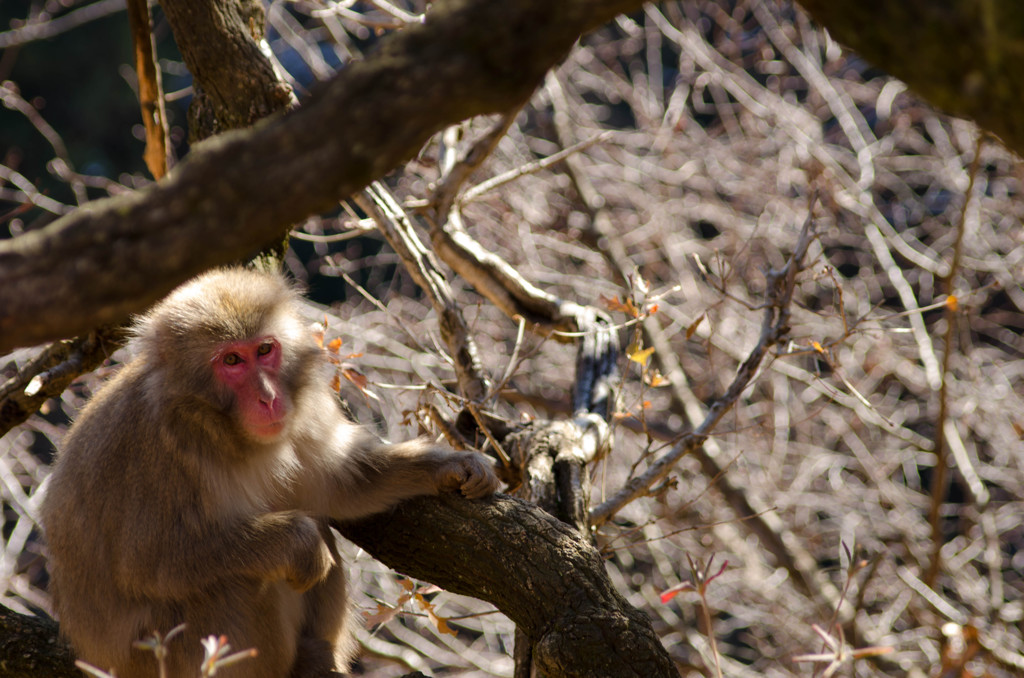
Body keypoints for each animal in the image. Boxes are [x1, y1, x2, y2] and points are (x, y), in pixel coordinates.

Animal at [41, 270, 497, 678]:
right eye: (231, 360)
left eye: (264, 350)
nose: (268, 397)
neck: (220, 428)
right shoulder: (156, 450)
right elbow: (149, 561)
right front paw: (299, 544)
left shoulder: (302, 413)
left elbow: (343, 483)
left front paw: (451, 466)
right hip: (162, 655)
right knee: (235, 580)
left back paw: (316, 656)